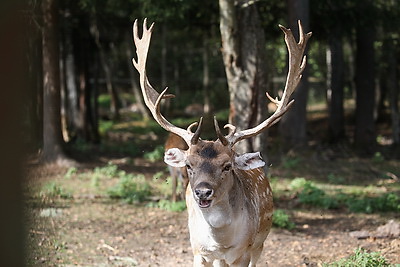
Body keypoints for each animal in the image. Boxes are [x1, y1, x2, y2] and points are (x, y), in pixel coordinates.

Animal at [133, 18, 310, 266]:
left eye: (227, 166)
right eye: (189, 165)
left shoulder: (243, 252)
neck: (220, 242)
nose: (202, 192)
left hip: (260, 242)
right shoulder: (198, 251)